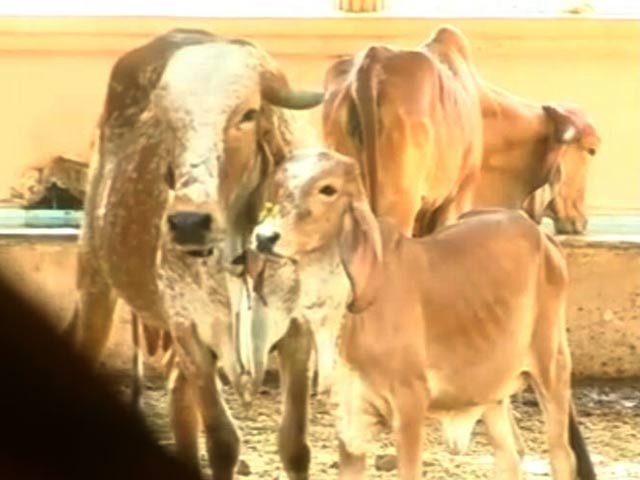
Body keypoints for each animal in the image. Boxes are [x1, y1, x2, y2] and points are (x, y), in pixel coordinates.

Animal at [72, 29, 323, 480]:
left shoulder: (298, 332)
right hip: (95, 282)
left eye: (248, 114)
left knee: (179, 403)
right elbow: (223, 442)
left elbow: (294, 446)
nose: (189, 222)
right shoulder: (190, 331)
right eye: (168, 121)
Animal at [249, 149, 596, 480]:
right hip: (492, 391)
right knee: (510, 455)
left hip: (552, 368)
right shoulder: (351, 418)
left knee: (562, 455)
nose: (265, 237)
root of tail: (542, 236)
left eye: (328, 189)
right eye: (280, 185)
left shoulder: (410, 405)